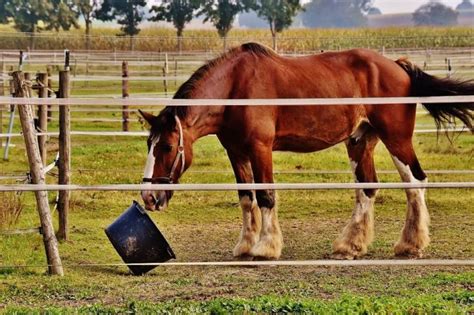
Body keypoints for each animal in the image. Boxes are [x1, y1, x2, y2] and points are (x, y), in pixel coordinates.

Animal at [139, 43, 472, 260]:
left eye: (167, 146)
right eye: (148, 145)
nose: (149, 197)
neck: (235, 88)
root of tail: (398, 66)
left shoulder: (260, 149)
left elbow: (266, 196)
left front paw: (266, 248)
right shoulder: (236, 152)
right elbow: (246, 198)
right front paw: (245, 246)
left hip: (397, 139)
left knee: (415, 183)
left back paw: (410, 245)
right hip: (360, 141)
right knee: (367, 189)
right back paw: (349, 246)